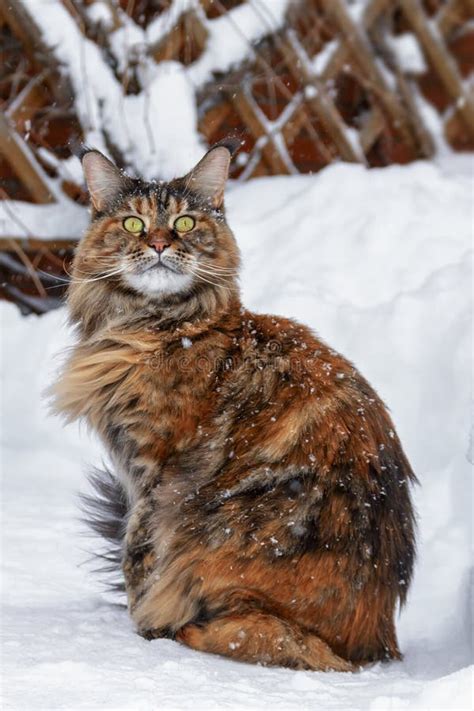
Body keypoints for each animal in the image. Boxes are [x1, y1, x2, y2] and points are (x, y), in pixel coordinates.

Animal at [51, 140, 414, 672]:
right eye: (134, 224)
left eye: (184, 223)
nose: (159, 244)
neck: (156, 329)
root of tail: (377, 641)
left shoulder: (153, 470)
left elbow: (138, 554)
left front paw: (143, 627)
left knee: (261, 635)